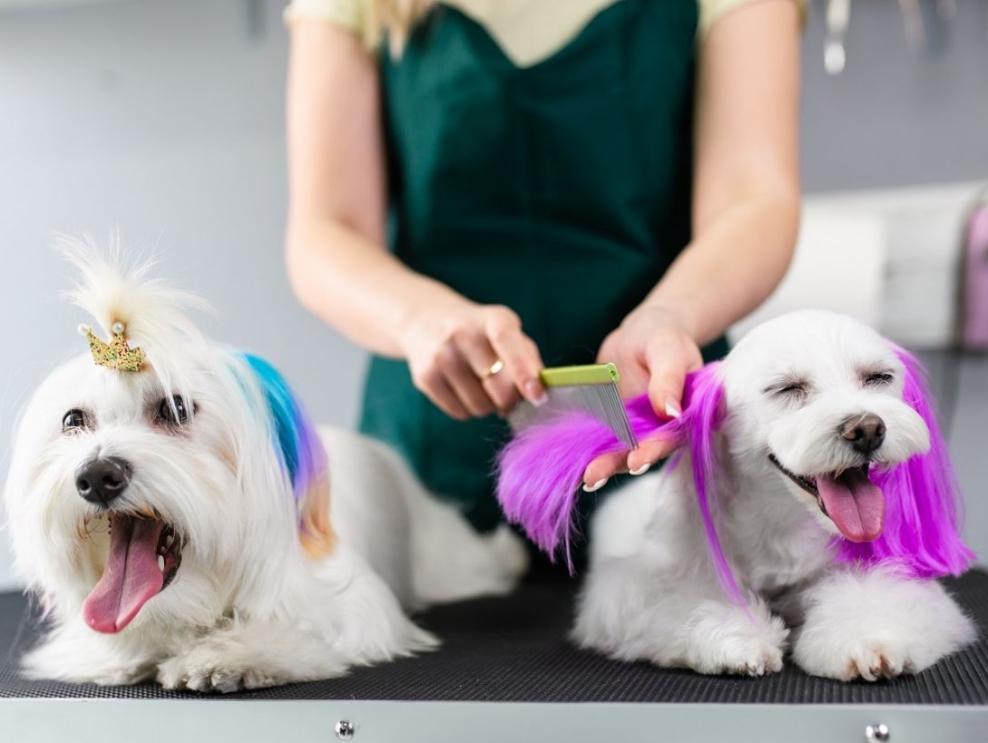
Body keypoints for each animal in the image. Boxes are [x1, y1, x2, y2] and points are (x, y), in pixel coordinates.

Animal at [3, 247, 528, 696]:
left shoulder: (352, 604)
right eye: (73, 420)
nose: (96, 476)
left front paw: (230, 655)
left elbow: (297, 628)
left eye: (175, 408)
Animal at [502, 310, 980, 684]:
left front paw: (866, 639)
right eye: (787, 388)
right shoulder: (637, 586)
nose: (866, 428)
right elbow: (684, 596)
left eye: (878, 378)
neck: (780, 520)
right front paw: (736, 638)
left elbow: (877, 599)